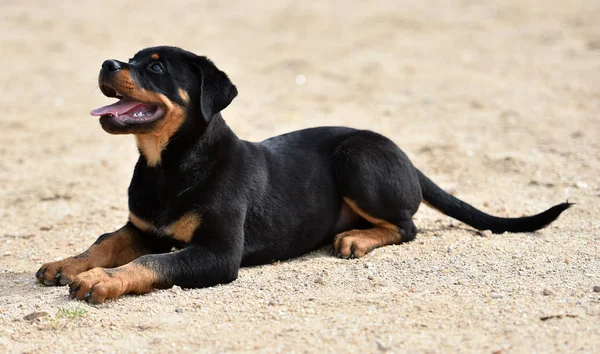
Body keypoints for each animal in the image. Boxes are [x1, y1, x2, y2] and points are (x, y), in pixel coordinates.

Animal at [35, 45, 568, 302]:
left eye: (157, 67)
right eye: (129, 58)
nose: (107, 63)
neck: (166, 164)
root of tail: (405, 156)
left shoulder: (217, 254)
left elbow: (151, 262)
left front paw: (102, 281)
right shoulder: (143, 226)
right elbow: (106, 241)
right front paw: (68, 264)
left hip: (356, 157)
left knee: (407, 224)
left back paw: (356, 238)